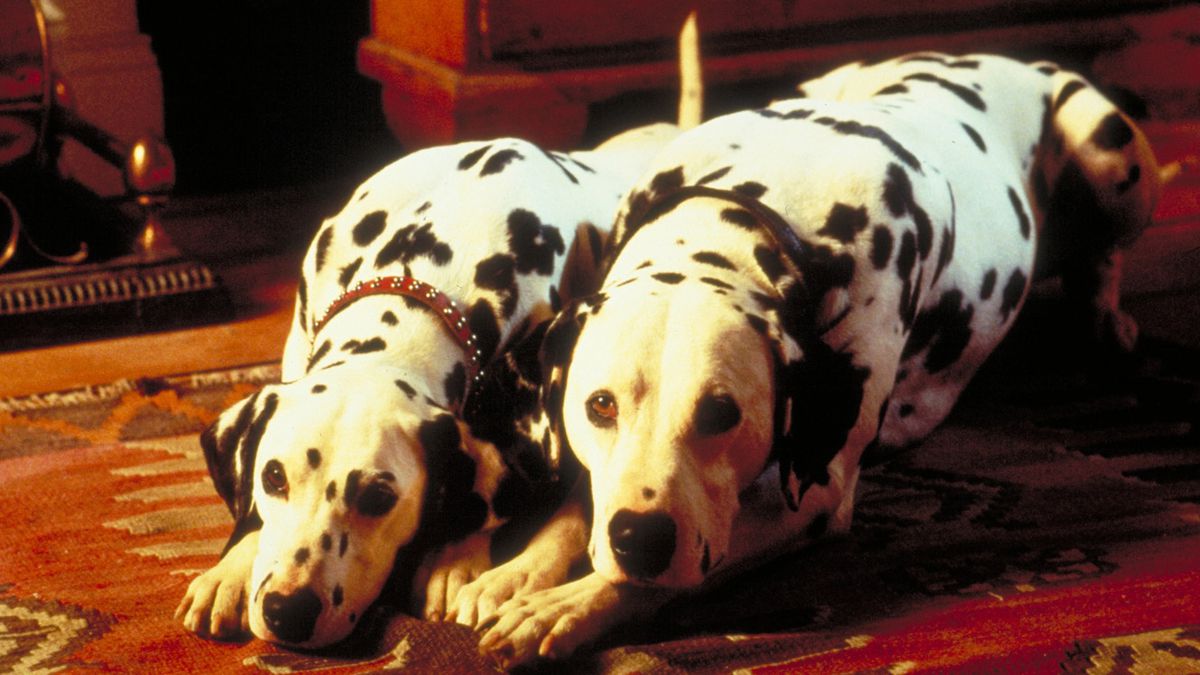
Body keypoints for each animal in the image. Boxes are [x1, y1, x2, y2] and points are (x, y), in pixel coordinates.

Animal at [463, 53, 1166, 662]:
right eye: (600, 406)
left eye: (721, 414)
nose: (640, 539)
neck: (764, 203)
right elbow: (576, 503)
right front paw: (518, 572)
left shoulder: (813, 493)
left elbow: (657, 575)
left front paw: (562, 607)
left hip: (1110, 153)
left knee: (1104, 254)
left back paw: (1104, 313)